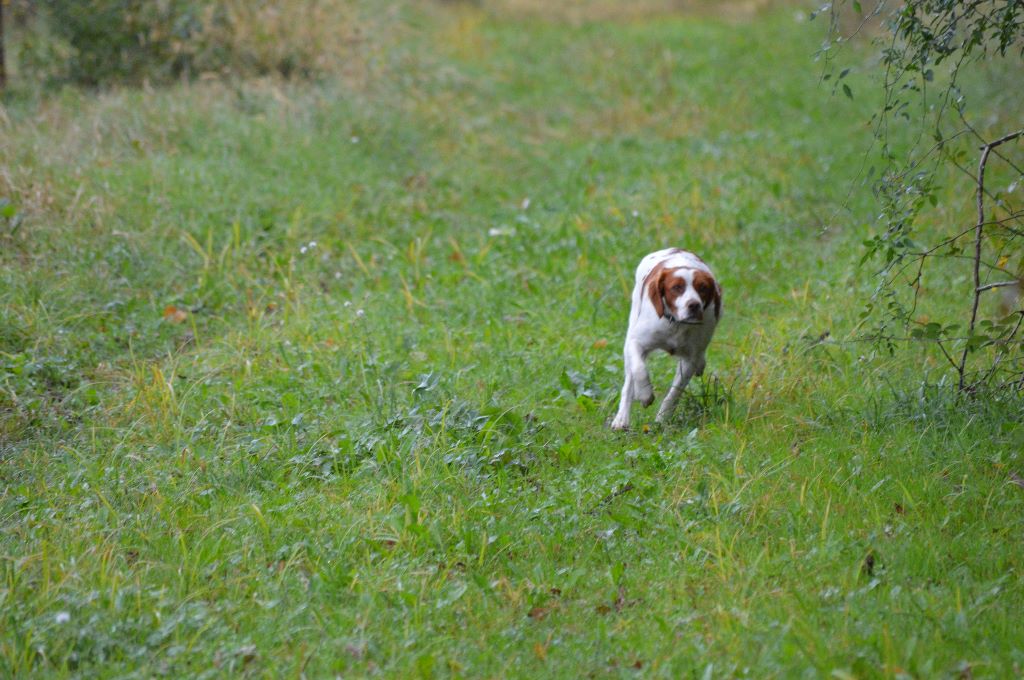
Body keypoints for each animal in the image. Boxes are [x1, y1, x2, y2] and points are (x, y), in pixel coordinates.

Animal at [610, 248, 724, 430]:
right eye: (676, 287)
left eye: (703, 288)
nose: (694, 305)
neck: (676, 324)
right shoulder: (637, 342)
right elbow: (639, 369)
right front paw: (645, 394)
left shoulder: (690, 359)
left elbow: (675, 392)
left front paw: (662, 418)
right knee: (629, 380)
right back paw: (622, 419)